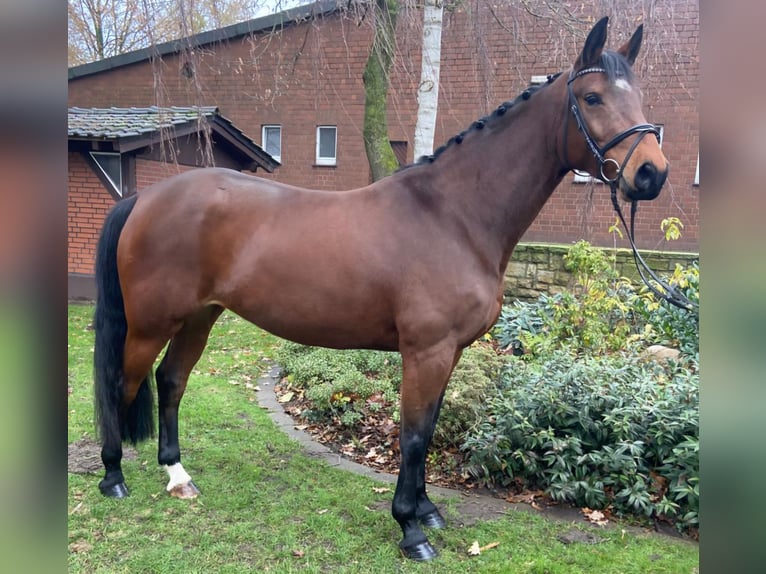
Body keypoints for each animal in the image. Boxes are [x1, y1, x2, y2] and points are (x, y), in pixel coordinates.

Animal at [93, 16, 667, 561]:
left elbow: (428, 431)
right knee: (122, 384)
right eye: (592, 97)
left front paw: (428, 511)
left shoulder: (450, 352)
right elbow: (412, 437)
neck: (453, 216)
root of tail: (146, 198)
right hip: (150, 323)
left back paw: (178, 476)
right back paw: (113, 477)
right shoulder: (426, 351)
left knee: (170, 381)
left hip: (200, 316)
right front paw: (411, 529)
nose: (651, 174)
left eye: (639, 96)